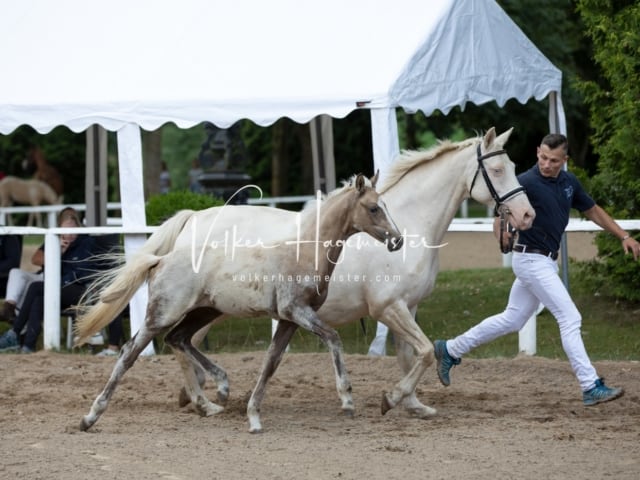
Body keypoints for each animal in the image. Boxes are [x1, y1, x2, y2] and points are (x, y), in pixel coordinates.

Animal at [75, 172, 402, 432]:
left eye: (386, 206)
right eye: (374, 207)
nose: (397, 240)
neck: (302, 252)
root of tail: (161, 259)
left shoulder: (288, 320)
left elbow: (270, 362)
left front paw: (253, 417)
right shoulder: (297, 311)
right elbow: (333, 338)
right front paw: (347, 400)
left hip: (204, 311)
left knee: (178, 339)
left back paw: (215, 395)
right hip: (162, 313)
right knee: (130, 352)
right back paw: (90, 417)